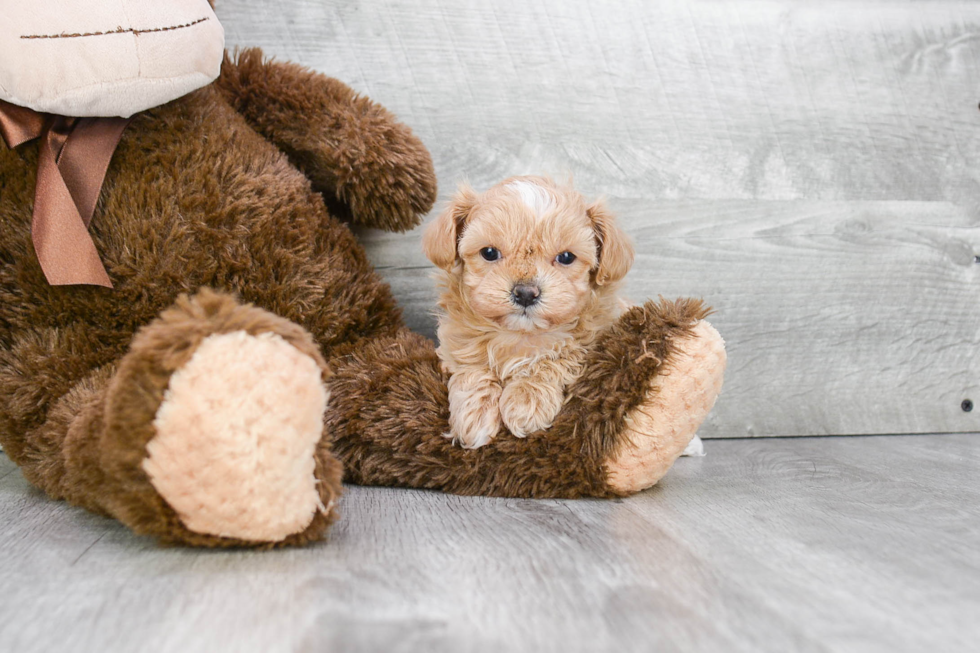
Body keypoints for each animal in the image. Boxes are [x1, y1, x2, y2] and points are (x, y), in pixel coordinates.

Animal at [424, 176, 636, 446]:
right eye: (489, 253)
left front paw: (526, 402)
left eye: (566, 257)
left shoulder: (592, 340)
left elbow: (555, 358)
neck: (519, 335)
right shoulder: (457, 341)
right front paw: (474, 415)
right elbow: (470, 366)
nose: (525, 293)